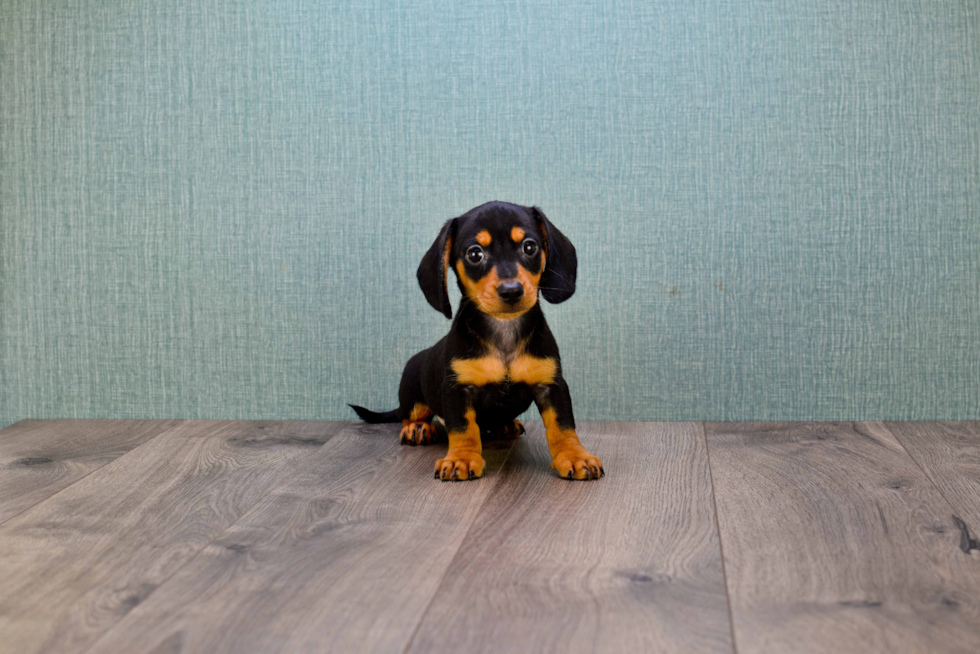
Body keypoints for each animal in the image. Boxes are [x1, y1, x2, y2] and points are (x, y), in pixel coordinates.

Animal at [348, 200, 600, 482]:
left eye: (530, 247)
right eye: (475, 254)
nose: (511, 291)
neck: (504, 333)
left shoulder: (552, 384)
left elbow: (563, 424)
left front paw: (575, 456)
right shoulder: (458, 388)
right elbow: (463, 428)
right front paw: (461, 459)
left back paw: (505, 425)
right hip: (413, 393)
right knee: (409, 416)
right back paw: (418, 429)